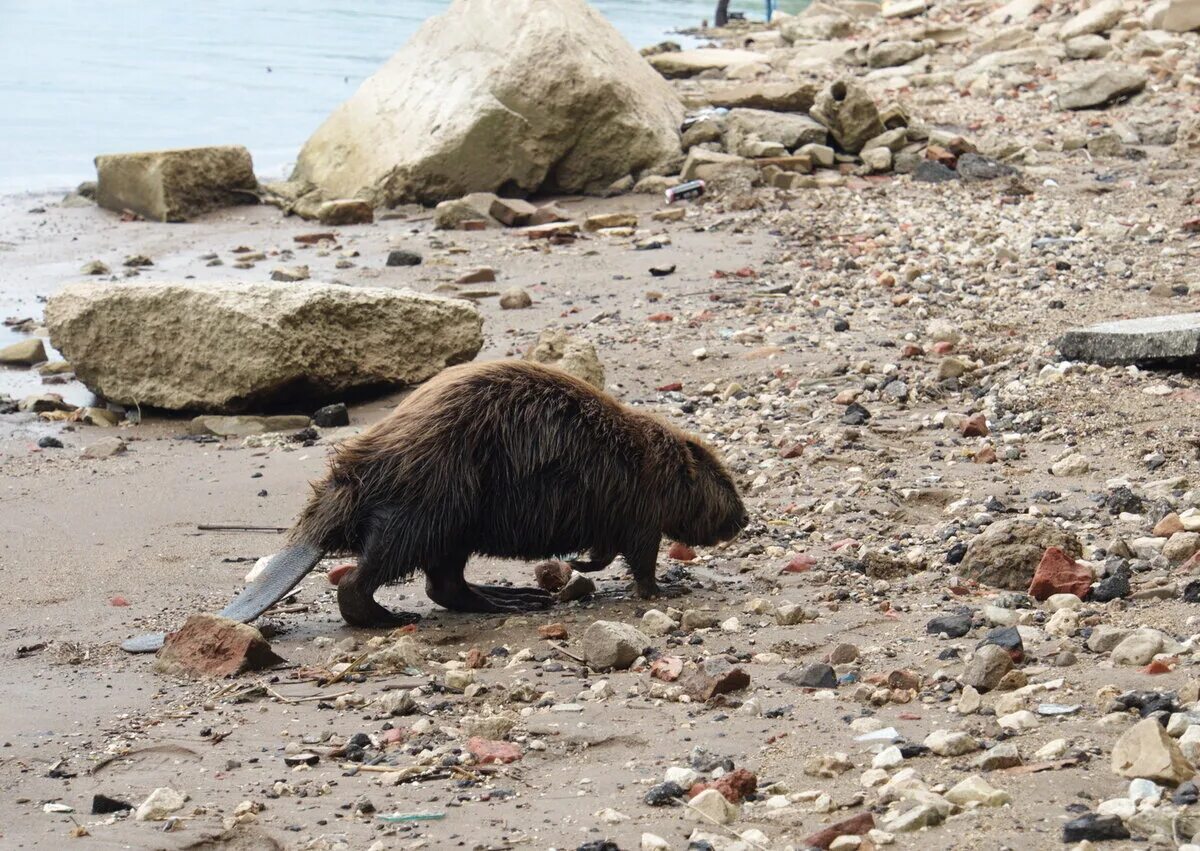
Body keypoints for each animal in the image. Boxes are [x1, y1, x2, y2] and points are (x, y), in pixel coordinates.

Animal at [119, 357, 739, 652]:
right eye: (725, 480)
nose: (744, 518)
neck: (644, 455)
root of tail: (321, 521)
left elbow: (607, 550)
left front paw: (578, 565)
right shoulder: (638, 507)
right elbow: (640, 558)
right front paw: (666, 590)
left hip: (449, 524)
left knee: (445, 583)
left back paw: (507, 600)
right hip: (428, 509)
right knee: (366, 583)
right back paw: (396, 617)